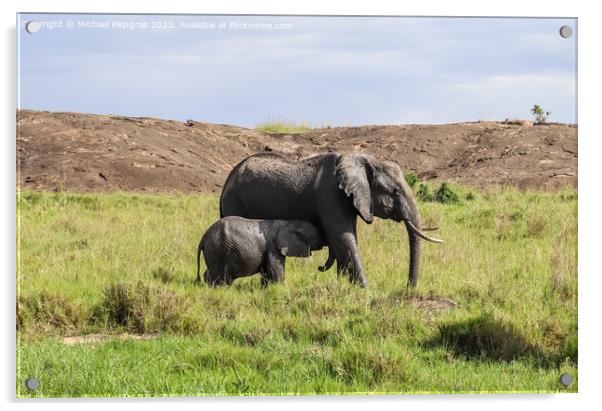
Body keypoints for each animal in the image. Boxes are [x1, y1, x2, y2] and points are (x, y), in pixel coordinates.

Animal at [196, 216, 324, 286]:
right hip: (218, 249)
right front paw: (280, 288)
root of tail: (204, 237)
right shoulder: (273, 248)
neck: (287, 222)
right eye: (316, 235)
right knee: (219, 275)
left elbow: (266, 272)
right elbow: (276, 271)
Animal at [219, 152, 440, 290]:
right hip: (234, 201)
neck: (364, 159)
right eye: (395, 191)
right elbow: (344, 237)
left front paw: (345, 286)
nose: (408, 288)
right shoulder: (331, 196)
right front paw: (365, 290)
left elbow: (347, 238)